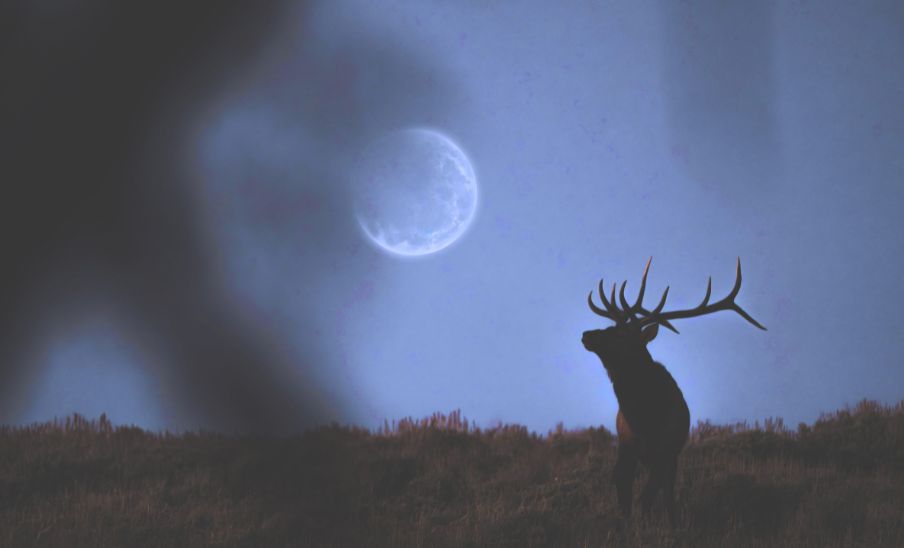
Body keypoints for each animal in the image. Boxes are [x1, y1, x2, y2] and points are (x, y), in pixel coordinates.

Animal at [581, 257, 765, 526]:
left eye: (624, 334)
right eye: (610, 326)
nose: (587, 334)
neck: (646, 420)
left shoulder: (666, 451)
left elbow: (648, 497)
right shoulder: (627, 447)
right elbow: (625, 495)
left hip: (671, 456)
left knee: (666, 492)